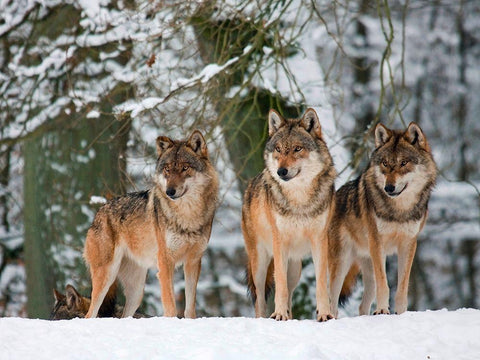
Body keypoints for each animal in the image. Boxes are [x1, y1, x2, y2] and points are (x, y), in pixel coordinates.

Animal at [82, 130, 218, 318]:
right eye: (167, 169)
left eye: (185, 168)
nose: (170, 192)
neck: (187, 214)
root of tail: (98, 213)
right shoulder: (165, 262)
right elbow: (170, 306)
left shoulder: (194, 261)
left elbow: (190, 307)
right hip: (106, 276)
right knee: (90, 314)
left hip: (137, 291)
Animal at [242, 107, 336, 320]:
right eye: (278, 149)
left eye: (297, 149)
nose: (281, 171)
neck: (299, 200)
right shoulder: (280, 243)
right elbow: (280, 286)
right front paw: (278, 314)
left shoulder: (320, 241)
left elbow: (321, 284)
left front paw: (324, 314)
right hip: (260, 265)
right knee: (260, 298)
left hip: (295, 269)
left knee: (291, 295)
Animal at [328, 122, 436, 316]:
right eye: (385, 163)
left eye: (403, 163)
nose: (389, 188)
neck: (399, 210)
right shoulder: (378, 243)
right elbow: (384, 284)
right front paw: (382, 310)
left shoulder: (408, 244)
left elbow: (402, 287)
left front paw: (400, 313)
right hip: (341, 264)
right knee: (332, 300)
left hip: (367, 268)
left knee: (362, 305)